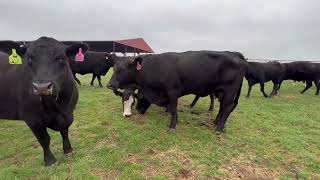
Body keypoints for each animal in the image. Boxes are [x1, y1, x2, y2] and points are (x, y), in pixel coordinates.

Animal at [0, 37, 86, 167]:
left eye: (61, 58)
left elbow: (65, 130)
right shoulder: (32, 118)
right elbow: (44, 139)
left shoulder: (68, 112)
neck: (58, 106)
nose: (42, 87)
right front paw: (50, 161)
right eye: (29, 58)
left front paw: (68, 150)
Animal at [107, 50, 248, 132]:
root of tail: (239, 58)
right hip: (222, 92)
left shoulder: (173, 92)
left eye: (122, 69)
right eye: (113, 68)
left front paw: (172, 126)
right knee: (222, 107)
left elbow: (174, 109)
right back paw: (215, 122)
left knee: (227, 108)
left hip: (229, 92)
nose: (110, 84)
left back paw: (219, 128)